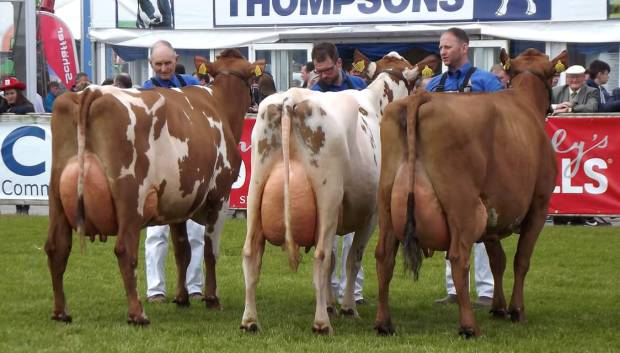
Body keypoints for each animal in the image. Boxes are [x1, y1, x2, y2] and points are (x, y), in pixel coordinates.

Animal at [45, 49, 264, 324]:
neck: (220, 105)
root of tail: (91, 92)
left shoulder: (178, 200)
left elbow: (182, 251)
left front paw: (182, 298)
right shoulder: (219, 196)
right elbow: (210, 251)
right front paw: (212, 299)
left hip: (57, 196)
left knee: (56, 247)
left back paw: (60, 311)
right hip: (130, 197)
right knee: (124, 250)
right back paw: (137, 313)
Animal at [240, 50, 438, 332]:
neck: (377, 103)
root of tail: (292, 98)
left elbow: (336, 261)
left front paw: (332, 304)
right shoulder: (372, 214)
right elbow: (351, 259)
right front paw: (346, 308)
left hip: (256, 192)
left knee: (251, 253)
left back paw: (250, 320)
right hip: (328, 196)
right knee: (320, 256)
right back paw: (321, 322)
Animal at [372, 48, 568, 336]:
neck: (525, 101)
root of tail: (421, 97)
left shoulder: (493, 211)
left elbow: (497, 260)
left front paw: (498, 307)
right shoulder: (539, 205)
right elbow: (521, 259)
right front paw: (516, 310)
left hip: (387, 201)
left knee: (385, 255)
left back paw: (384, 323)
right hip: (462, 205)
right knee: (458, 257)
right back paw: (469, 326)